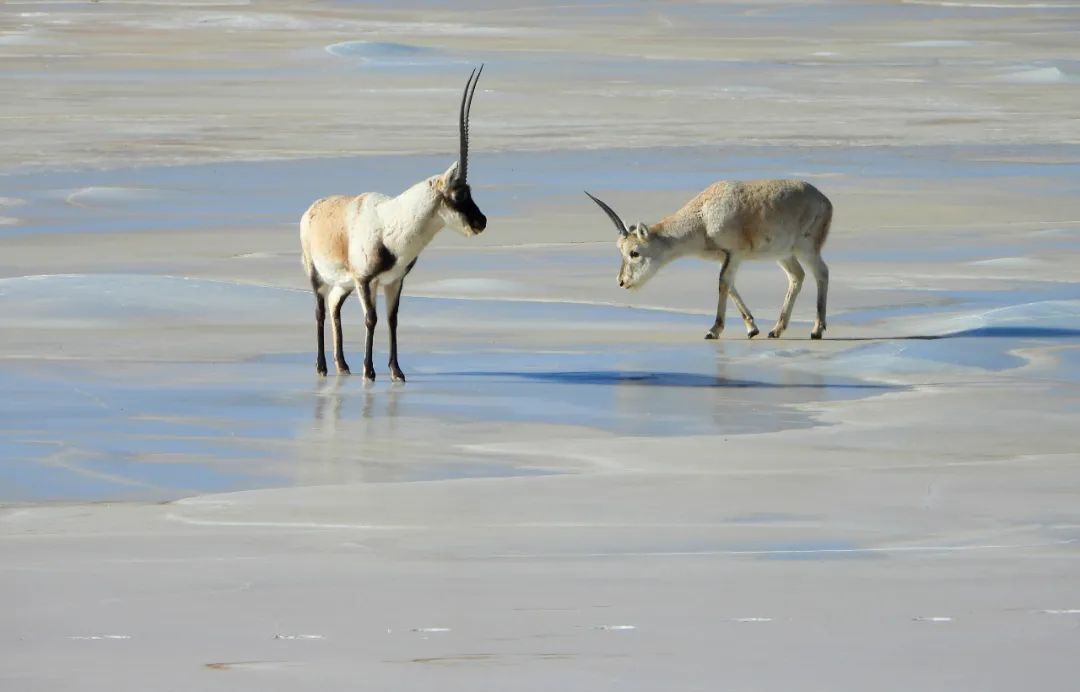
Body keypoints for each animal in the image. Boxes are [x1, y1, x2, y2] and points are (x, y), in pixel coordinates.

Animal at [304, 66, 490, 380]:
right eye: (458, 194)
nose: (481, 222)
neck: (392, 222)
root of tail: (312, 210)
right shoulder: (366, 280)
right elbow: (372, 319)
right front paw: (369, 371)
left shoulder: (394, 280)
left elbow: (392, 319)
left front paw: (396, 371)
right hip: (317, 274)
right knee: (319, 310)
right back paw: (322, 367)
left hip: (344, 284)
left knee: (333, 306)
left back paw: (342, 365)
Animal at [587, 179, 829, 338]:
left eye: (634, 252)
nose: (622, 281)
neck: (703, 216)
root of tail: (824, 200)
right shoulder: (727, 258)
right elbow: (730, 286)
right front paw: (752, 329)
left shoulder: (734, 253)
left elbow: (723, 283)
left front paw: (714, 330)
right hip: (783, 254)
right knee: (797, 276)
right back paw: (776, 330)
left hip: (806, 248)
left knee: (822, 272)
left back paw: (816, 330)